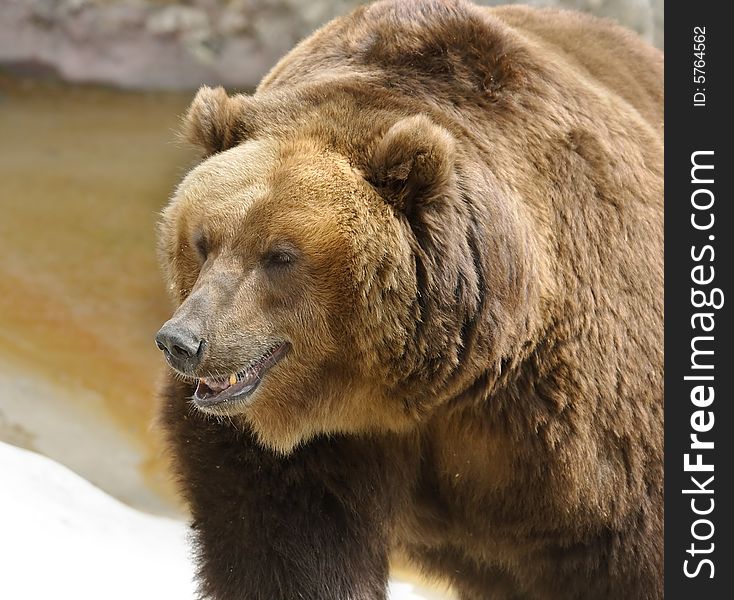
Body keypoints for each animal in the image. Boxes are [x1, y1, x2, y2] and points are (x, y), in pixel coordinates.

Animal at [155, 2, 668, 596]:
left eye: (280, 255)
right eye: (203, 240)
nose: (182, 341)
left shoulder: (585, 431)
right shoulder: (315, 446)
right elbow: (281, 538)